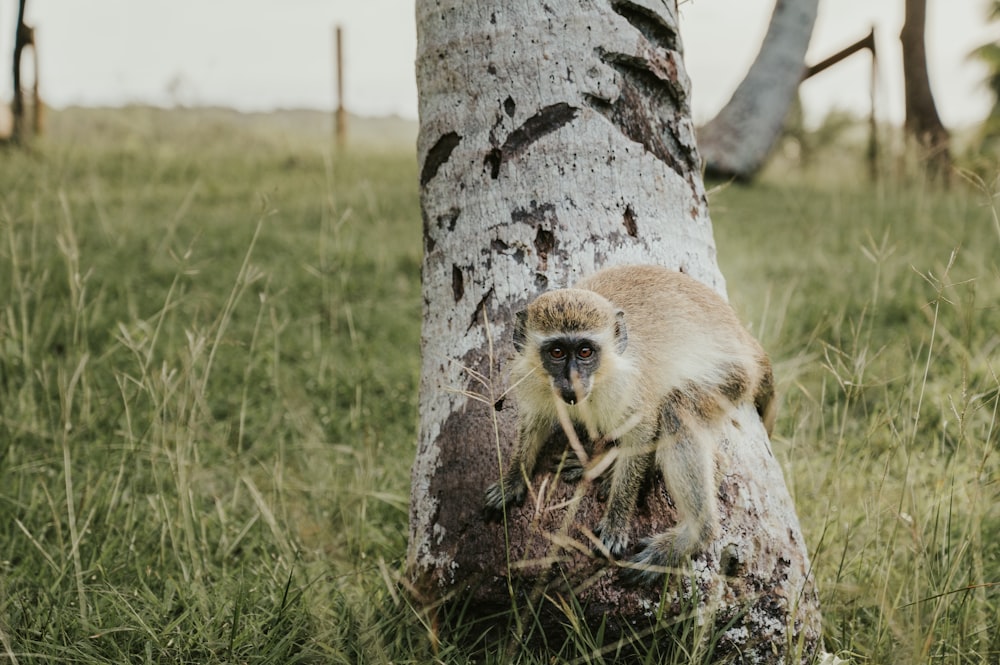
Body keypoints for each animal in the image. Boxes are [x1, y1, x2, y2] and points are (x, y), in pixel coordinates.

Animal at [480, 264, 776, 580]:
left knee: (677, 408)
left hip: (731, 377)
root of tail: (746, 342)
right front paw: (513, 479)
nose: (572, 381)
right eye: (557, 352)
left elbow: (641, 431)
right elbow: (534, 422)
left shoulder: (628, 384)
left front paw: (616, 520)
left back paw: (695, 532)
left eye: (585, 352)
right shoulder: (533, 380)